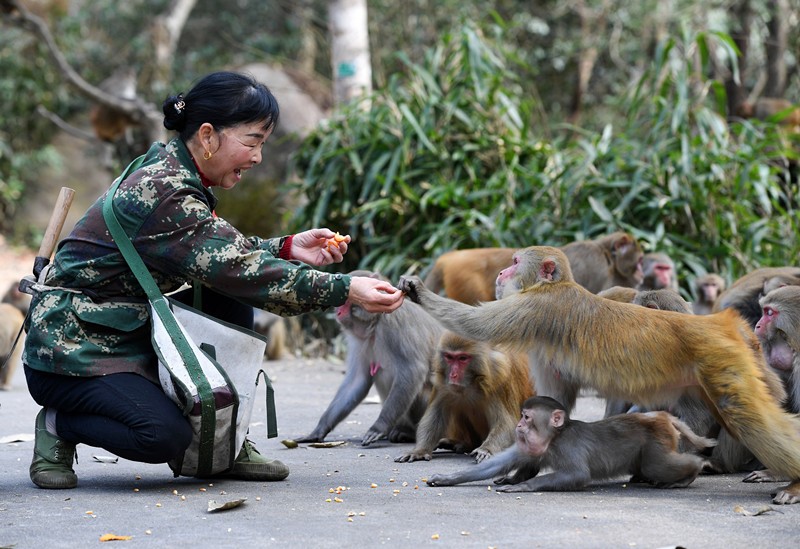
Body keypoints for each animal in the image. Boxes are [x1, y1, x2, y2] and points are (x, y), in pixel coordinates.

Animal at [296, 270, 440, 446]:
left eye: (347, 300)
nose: (337, 311)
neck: (375, 323)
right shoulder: (358, 340)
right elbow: (357, 380)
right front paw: (319, 429)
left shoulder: (396, 325)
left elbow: (413, 370)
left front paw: (378, 427)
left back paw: (409, 433)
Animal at [396, 330, 536, 462]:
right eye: (449, 357)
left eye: (462, 358)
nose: (452, 375)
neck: (472, 383)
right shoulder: (443, 382)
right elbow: (435, 415)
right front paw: (419, 450)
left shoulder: (501, 380)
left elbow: (507, 423)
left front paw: (486, 449)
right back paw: (464, 444)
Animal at [424, 396, 712, 490]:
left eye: (526, 417)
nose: (518, 426)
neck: (554, 438)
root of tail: (661, 416)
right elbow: (497, 465)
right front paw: (445, 479)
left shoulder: (568, 447)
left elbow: (578, 475)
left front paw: (524, 486)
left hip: (656, 444)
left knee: (661, 466)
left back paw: (692, 472)